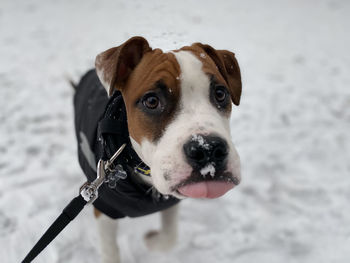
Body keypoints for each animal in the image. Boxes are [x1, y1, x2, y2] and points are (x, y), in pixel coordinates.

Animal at [73, 36, 243, 263]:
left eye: (220, 93)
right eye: (152, 101)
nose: (208, 149)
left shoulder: (170, 200)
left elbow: (171, 235)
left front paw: (152, 242)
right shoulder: (104, 210)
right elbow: (110, 252)